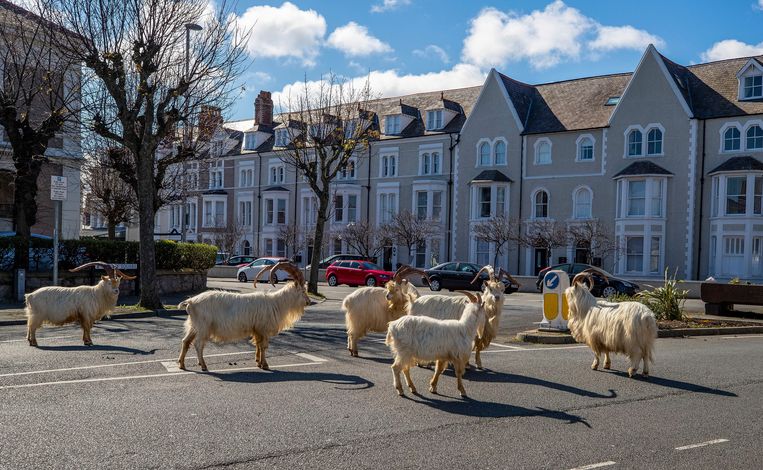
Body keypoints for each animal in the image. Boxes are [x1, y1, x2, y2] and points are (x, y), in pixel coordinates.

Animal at [178, 260, 308, 370]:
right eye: (303, 291)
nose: (309, 301)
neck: (276, 303)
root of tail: (191, 301)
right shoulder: (263, 329)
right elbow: (263, 346)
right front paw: (265, 365)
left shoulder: (257, 329)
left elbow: (258, 345)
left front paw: (258, 362)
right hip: (203, 327)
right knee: (198, 344)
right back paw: (203, 366)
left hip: (193, 326)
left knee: (186, 341)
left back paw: (182, 364)